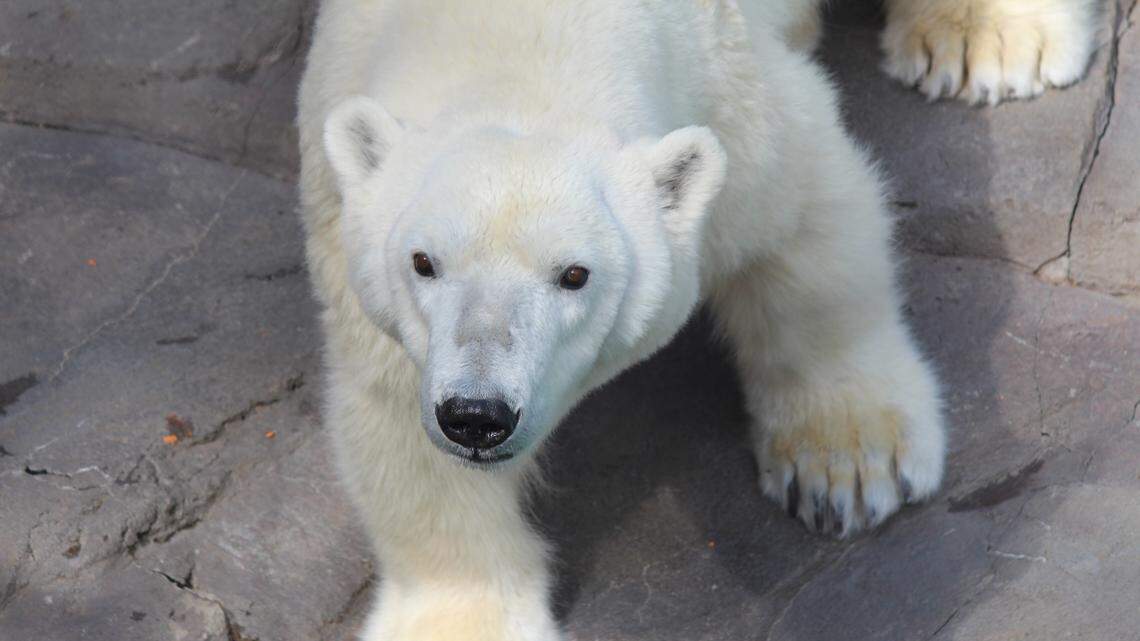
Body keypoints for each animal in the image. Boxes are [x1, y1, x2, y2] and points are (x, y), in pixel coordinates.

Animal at [296, 0, 1099, 638]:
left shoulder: (731, 90)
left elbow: (808, 216)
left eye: (574, 273)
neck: (515, 39)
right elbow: (395, 410)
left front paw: (847, 466)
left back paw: (989, 41)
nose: (478, 414)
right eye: (423, 262)